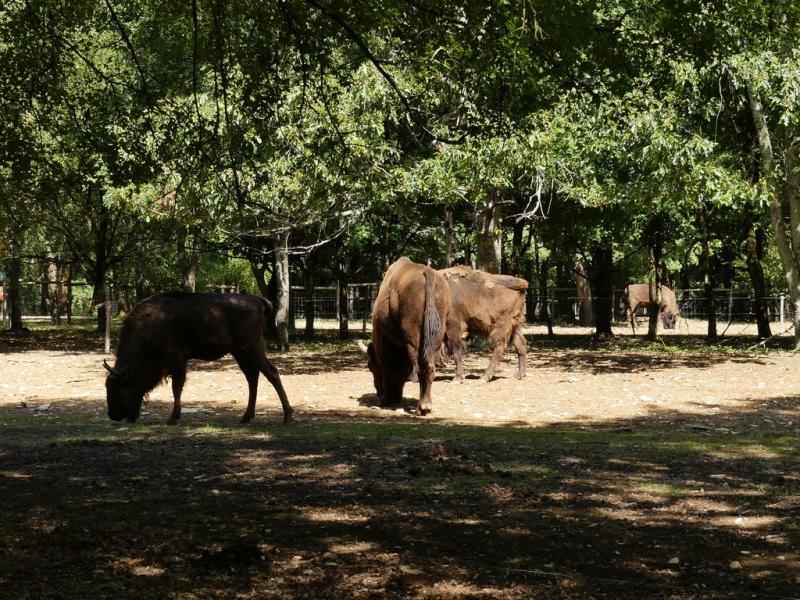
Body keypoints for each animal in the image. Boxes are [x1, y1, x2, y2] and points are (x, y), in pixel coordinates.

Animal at [103, 292, 292, 425]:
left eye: (119, 387)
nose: (112, 415)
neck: (150, 323)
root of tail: (257, 300)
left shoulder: (177, 359)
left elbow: (176, 387)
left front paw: (173, 418)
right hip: (239, 352)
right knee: (252, 377)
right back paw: (246, 417)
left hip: (252, 348)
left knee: (271, 373)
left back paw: (288, 417)